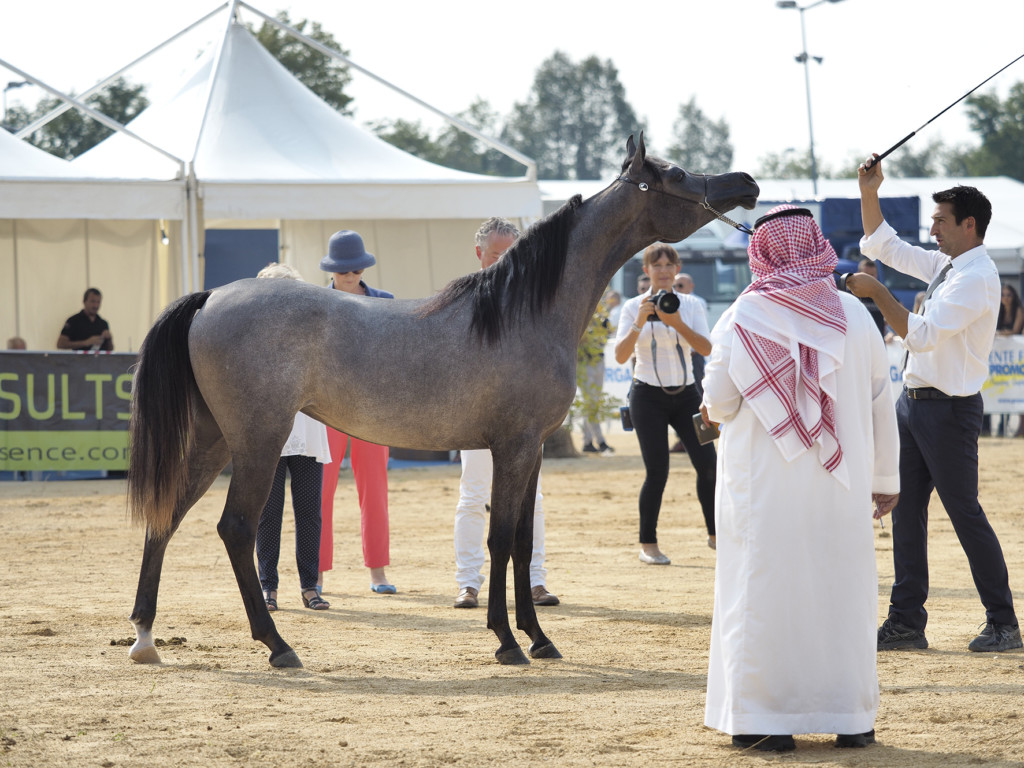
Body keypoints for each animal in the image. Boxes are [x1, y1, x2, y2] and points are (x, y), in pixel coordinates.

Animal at [125, 135, 753, 671]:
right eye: (675, 173)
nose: (745, 182)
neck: (521, 312)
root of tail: (211, 298)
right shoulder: (514, 447)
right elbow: (500, 536)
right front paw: (507, 642)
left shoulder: (531, 451)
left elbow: (522, 541)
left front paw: (539, 637)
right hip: (257, 441)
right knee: (234, 528)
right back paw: (277, 645)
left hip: (213, 440)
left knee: (166, 515)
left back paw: (144, 636)